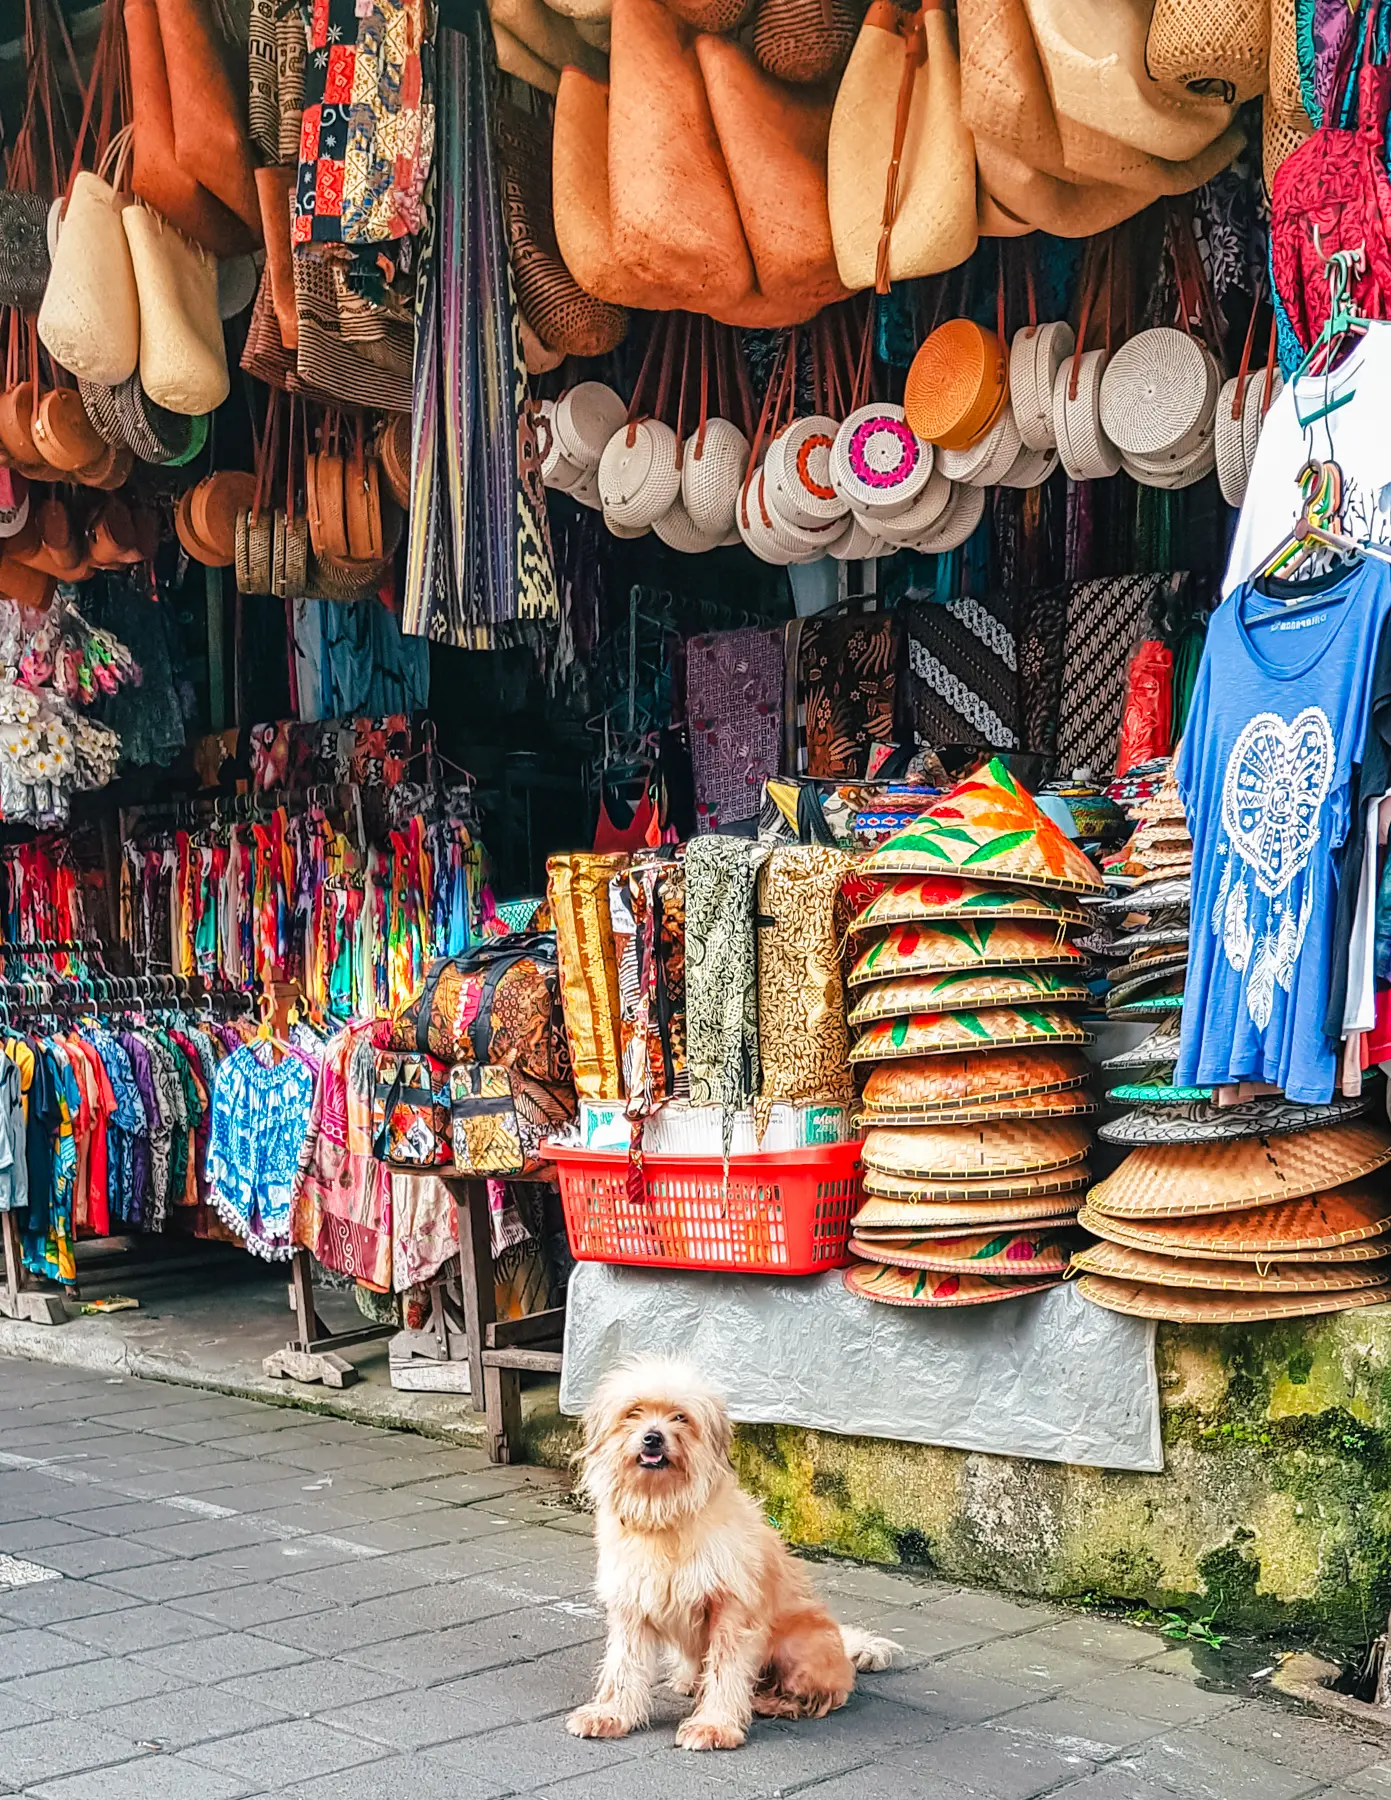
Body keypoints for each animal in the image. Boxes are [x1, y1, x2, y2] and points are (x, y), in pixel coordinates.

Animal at [568, 1353, 899, 1749]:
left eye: (681, 1417)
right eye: (633, 1411)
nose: (652, 1437)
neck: (666, 1515)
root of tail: (844, 1654)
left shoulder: (730, 1609)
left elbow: (726, 1670)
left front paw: (714, 1725)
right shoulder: (632, 1605)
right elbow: (623, 1665)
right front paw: (610, 1715)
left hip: (797, 1647)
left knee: (825, 1695)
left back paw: (770, 1701)